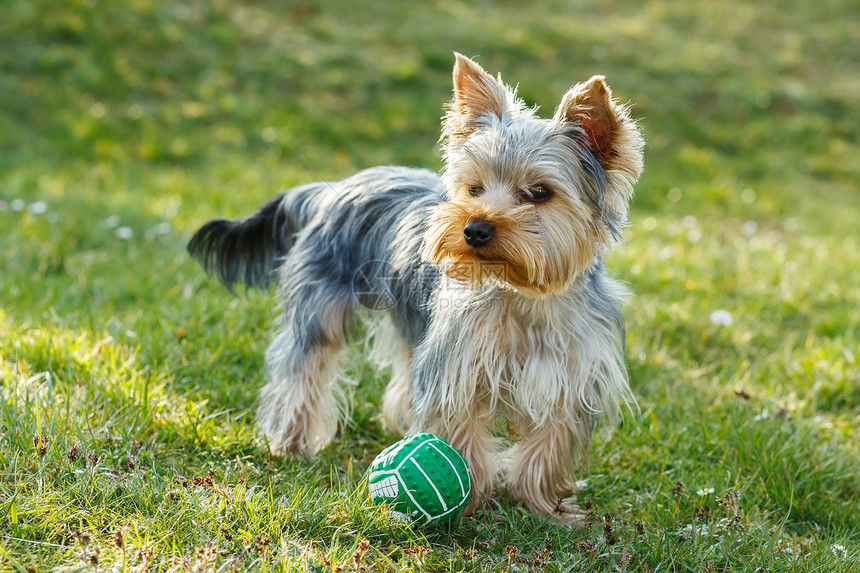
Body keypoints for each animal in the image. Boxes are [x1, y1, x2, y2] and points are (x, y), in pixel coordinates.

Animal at [190, 53, 644, 524]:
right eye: (474, 188)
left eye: (539, 193)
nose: (474, 229)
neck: (522, 294)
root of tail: (331, 189)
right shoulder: (458, 366)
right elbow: (460, 430)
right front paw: (470, 504)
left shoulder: (568, 373)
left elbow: (549, 444)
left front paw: (545, 507)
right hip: (320, 306)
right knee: (303, 365)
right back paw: (292, 443)